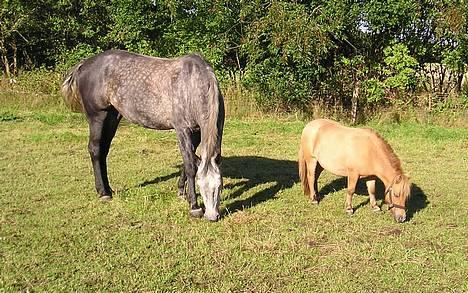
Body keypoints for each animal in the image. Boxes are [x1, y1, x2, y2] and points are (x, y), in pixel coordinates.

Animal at [61, 49, 226, 221]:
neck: (192, 85)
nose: (212, 216)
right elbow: (190, 166)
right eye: (201, 186)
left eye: (220, 186)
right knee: (94, 149)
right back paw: (103, 193)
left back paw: (108, 189)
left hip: (112, 117)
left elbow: (189, 160)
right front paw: (194, 206)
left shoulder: (197, 132)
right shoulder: (183, 129)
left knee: (103, 151)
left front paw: (182, 192)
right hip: (97, 117)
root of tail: (84, 64)